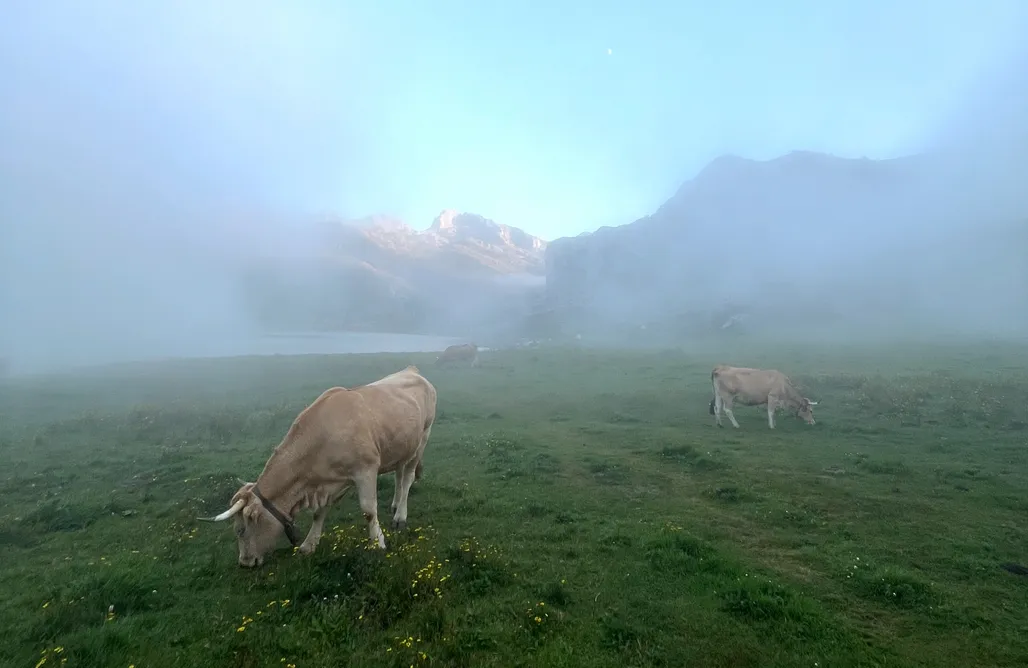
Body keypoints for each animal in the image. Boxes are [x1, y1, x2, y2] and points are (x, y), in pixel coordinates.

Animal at [199, 365, 437, 563]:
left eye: (240, 530)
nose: (244, 563)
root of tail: (412, 370)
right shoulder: (328, 482)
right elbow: (319, 513)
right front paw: (308, 545)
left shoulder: (365, 470)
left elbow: (369, 511)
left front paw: (378, 543)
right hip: (401, 445)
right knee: (399, 474)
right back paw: (396, 504)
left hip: (423, 438)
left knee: (407, 478)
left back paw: (400, 516)